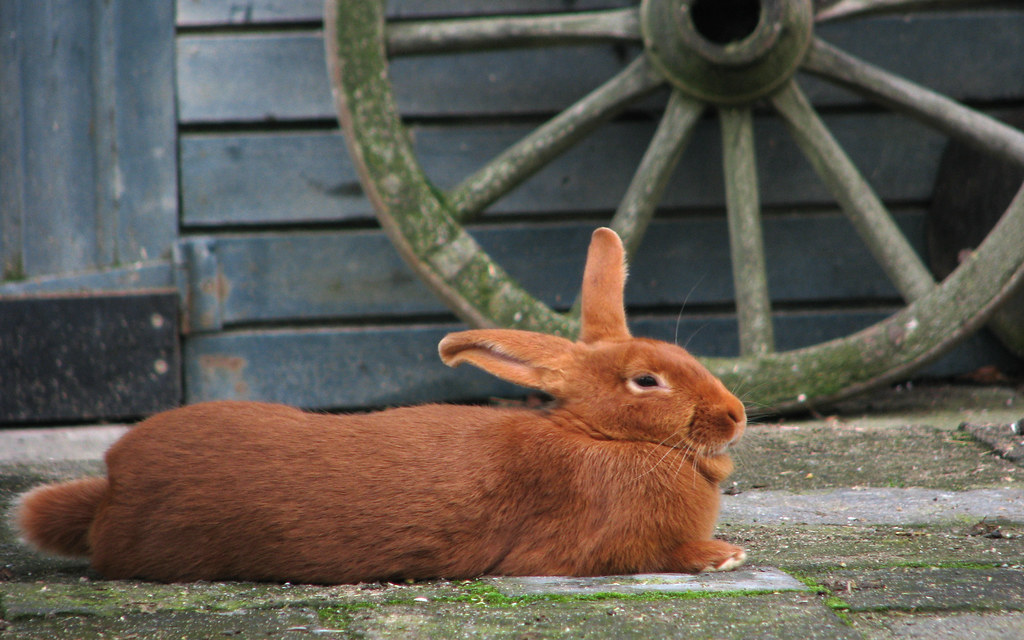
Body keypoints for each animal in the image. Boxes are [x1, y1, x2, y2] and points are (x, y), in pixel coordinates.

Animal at [13, 227, 747, 584]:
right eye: (646, 381)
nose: (737, 413)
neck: (605, 439)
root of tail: (111, 489)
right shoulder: (588, 549)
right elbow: (657, 553)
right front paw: (724, 554)